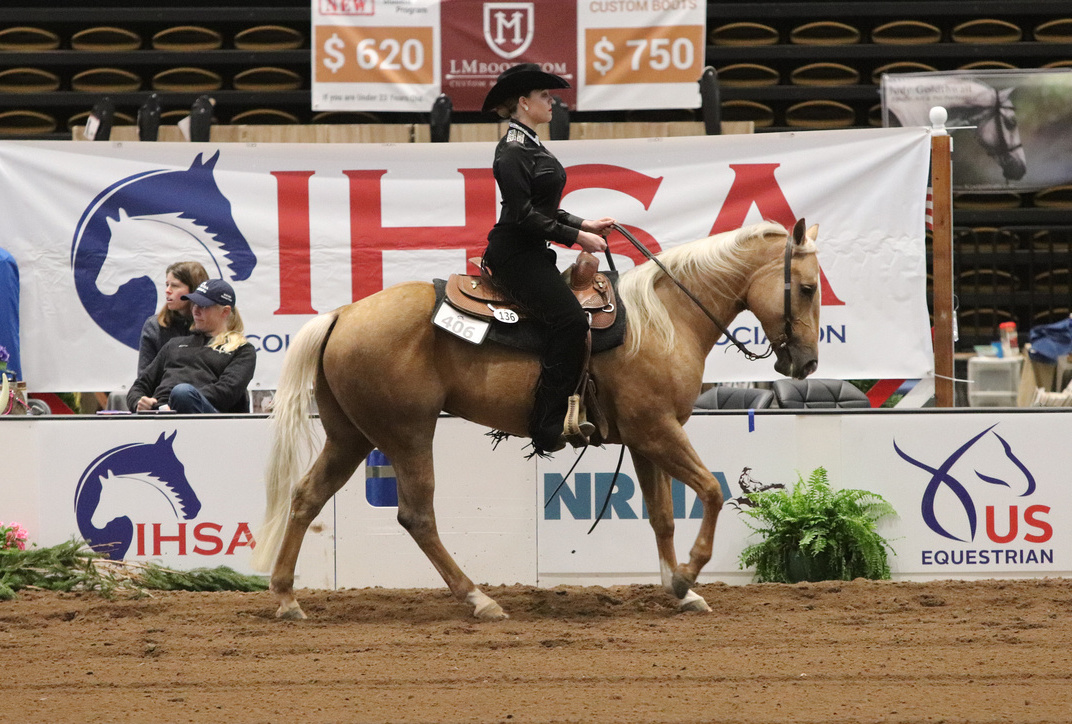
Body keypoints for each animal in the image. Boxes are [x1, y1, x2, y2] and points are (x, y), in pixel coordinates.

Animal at [250, 219, 819, 617]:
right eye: (810, 288)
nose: (807, 364)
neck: (663, 321)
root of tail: (343, 314)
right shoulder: (658, 430)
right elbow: (712, 491)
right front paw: (686, 578)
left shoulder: (644, 439)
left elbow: (661, 515)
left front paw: (680, 592)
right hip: (407, 433)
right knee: (416, 516)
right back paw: (479, 599)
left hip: (350, 436)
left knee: (306, 497)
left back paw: (287, 598)